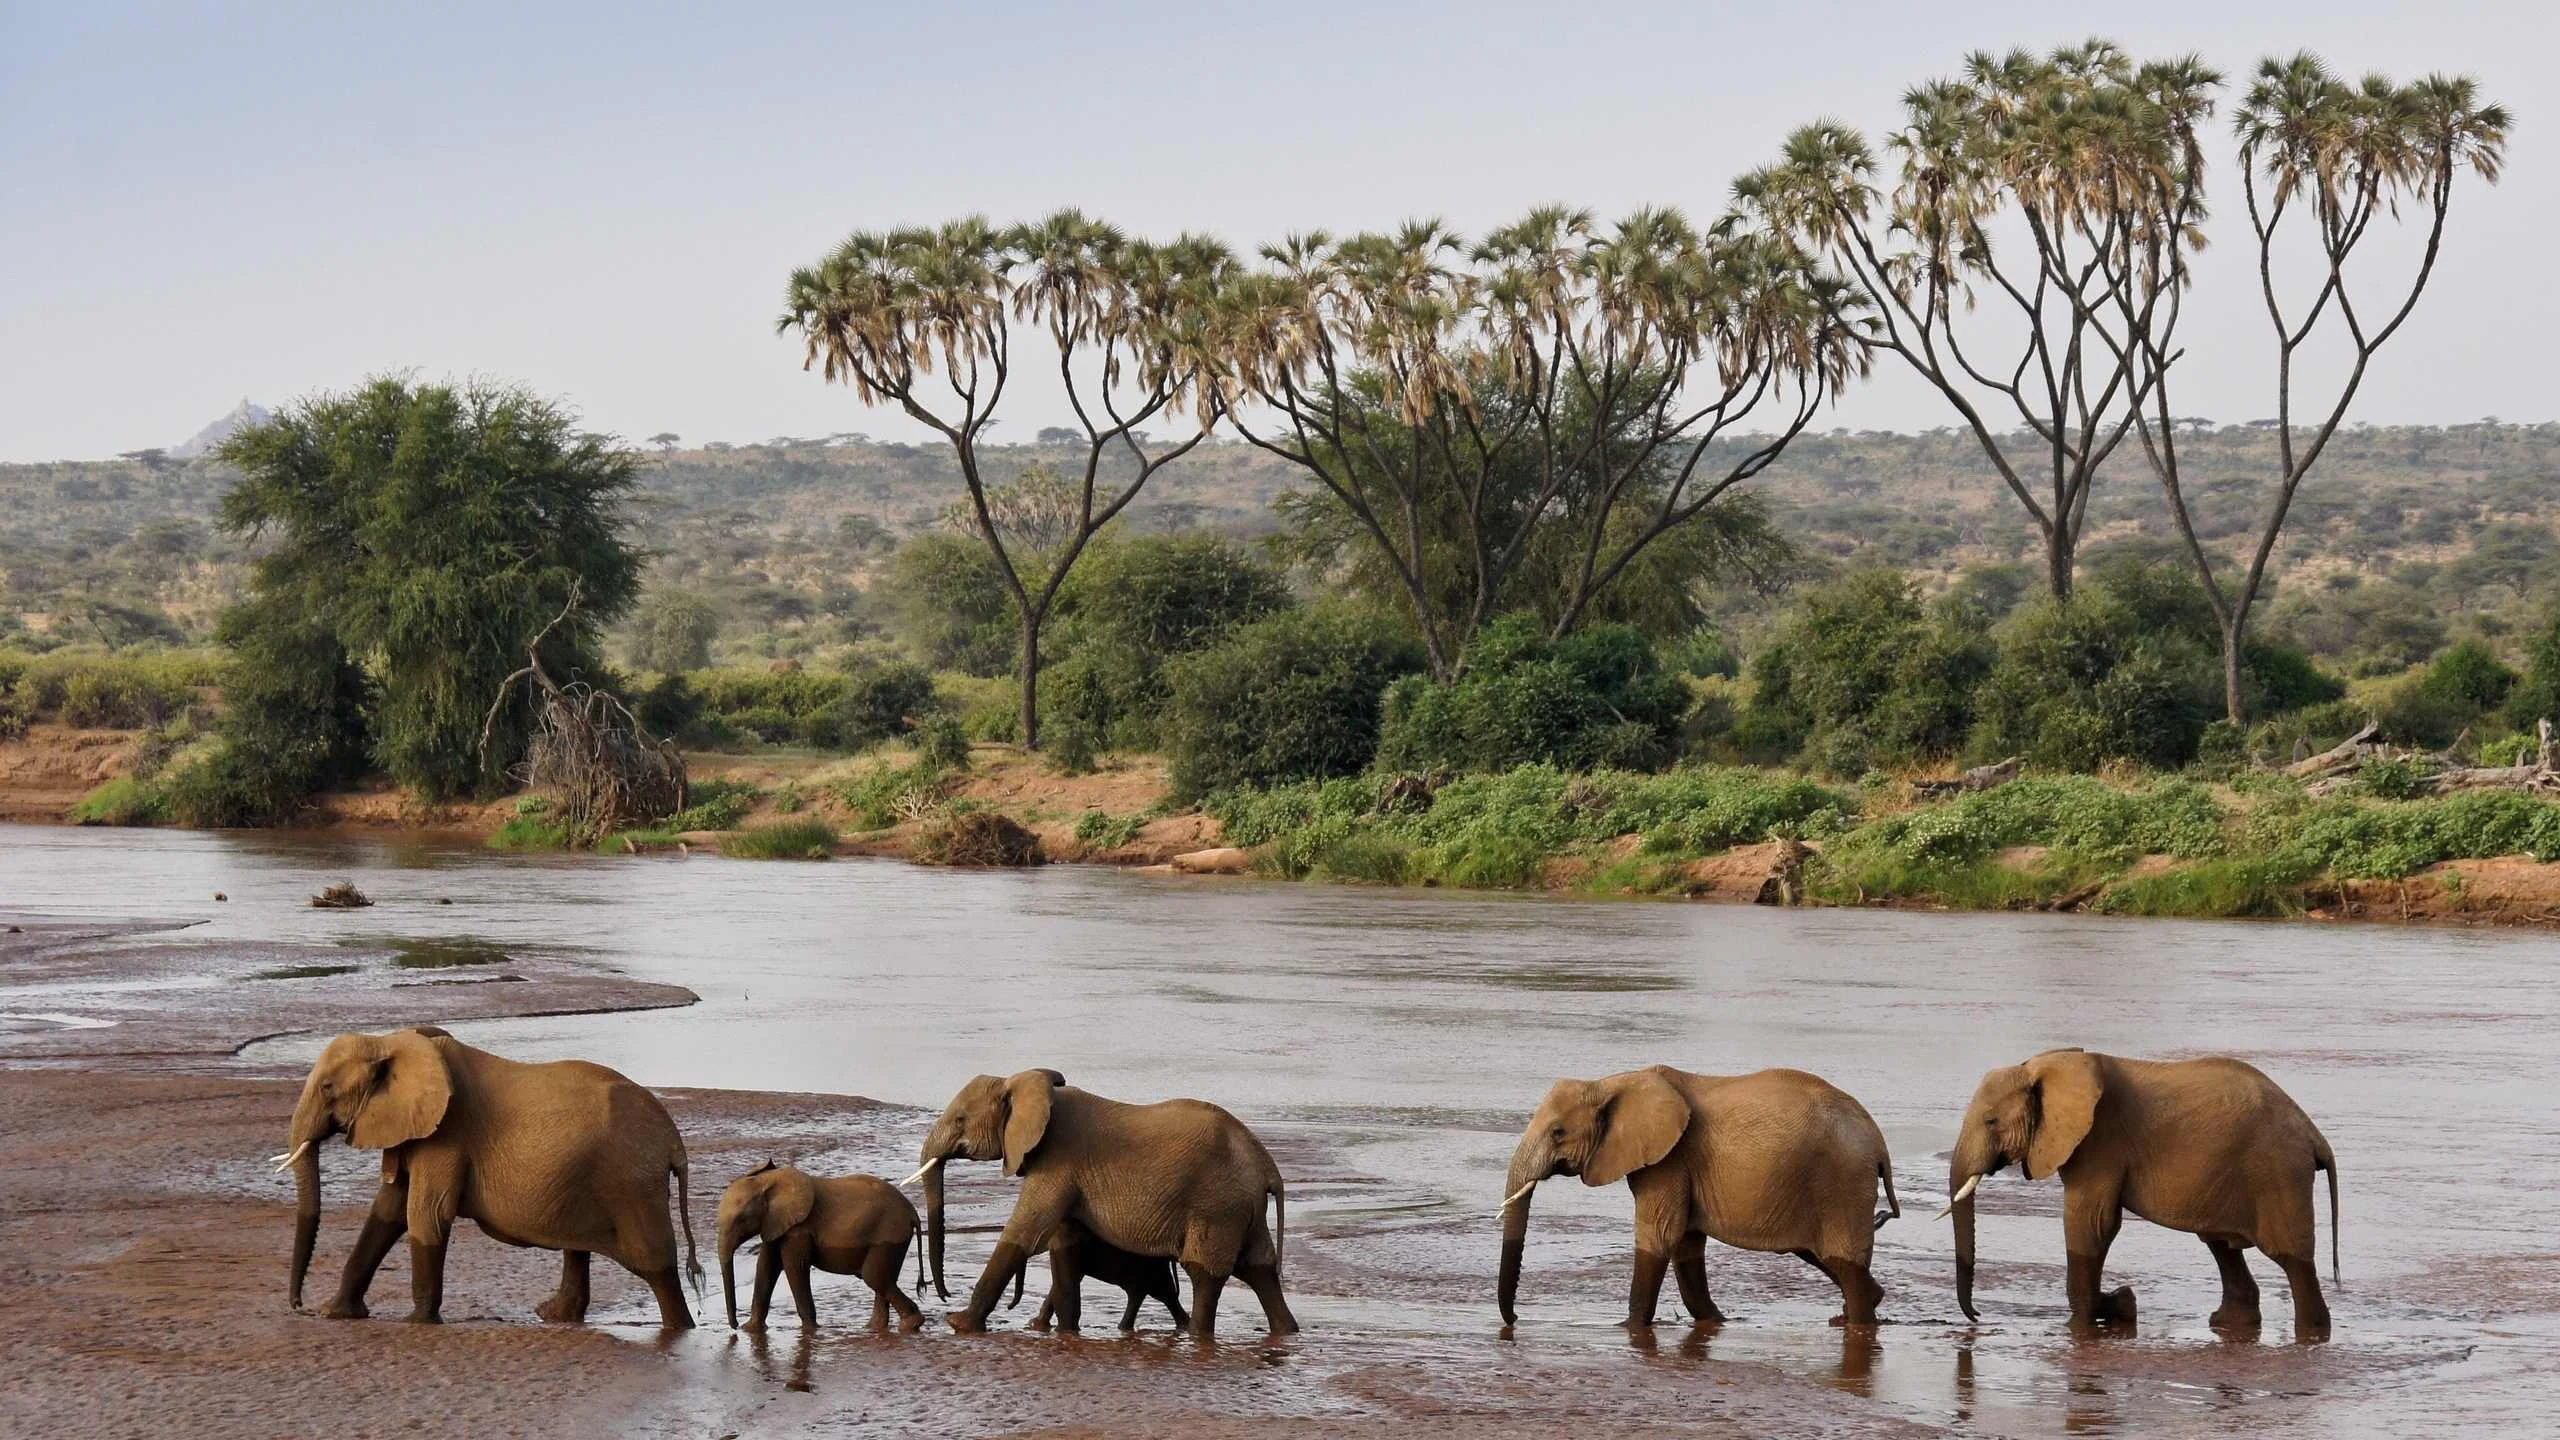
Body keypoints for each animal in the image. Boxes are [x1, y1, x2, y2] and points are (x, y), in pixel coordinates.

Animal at [277, 1025, 701, 1327]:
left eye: (327, 1088)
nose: (298, 1306)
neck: (391, 1042)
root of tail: (673, 1141)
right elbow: (387, 1211)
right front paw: (336, 1313)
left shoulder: (448, 1133)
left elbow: (426, 1214)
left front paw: (418, 1322)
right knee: (579, 1246)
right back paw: (553, 1317)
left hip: (631, 1182)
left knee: (655, 1263)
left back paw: (679, 1330)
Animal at [716, 1161, 925, 1331]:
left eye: (741, 1220)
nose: (734, 1326)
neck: (768, 1181)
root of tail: (913, 1213)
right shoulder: (774, 1223)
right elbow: (766, 1267)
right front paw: (750, 1330)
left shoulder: (799, 1229)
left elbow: (794, 1267)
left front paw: (811, 1330)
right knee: (883, 1279)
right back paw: (874, 1328)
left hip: (889, 1235)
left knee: (874, 1277)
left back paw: (910, 1325)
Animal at [908, 1068, 1296, 1338]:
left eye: (961, 1119)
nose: (942, 1295)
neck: (1020, 1083)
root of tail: (1267, 1166)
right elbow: (1064, 1244)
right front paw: (1063, 1332)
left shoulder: (1058, 1161)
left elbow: (1025, 1232)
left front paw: (959, 1324)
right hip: (1241, 1208)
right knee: (1259, 1268)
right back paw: (1286, 1332)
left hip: (1217, 1207)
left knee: (1204, 1272)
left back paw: (1198, 1335)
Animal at [1499, 1065, 1900, 1329]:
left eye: (1558, 1132)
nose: (1516, 1319)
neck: (1612, 1082)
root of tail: (1879, 1142)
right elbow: (1686, 1243)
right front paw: (1713, 1322)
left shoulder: (1670, 1159)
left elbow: (1659, 1236)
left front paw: (1629, 1329)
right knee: (1822, 1255)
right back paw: (1855, 1312)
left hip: (1842, 1183)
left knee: (1843, 1260)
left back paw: (1858, 1321)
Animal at [1945, 1048, 2339, 1338]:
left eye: (1991, 1121)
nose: (1977, 1315)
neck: (2046, 1066)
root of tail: (2313, 1134)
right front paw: (2122, 1304)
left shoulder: (2100, 1142)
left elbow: (2092, 1224)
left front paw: (2095, 1316)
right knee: (2221, 1245)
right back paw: (2228, 1324)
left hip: (2277, 1173)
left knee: (2290, 1257)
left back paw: (2312, 1333)